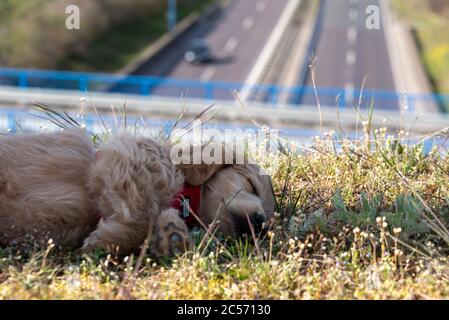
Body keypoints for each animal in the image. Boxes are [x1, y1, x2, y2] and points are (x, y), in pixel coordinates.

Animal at [0, 129, 274, 256]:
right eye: (251, 185)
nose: (260, 224)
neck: (183, 196)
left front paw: (168, 237)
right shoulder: (126, 162)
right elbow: (143, 215)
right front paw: (106, 240)